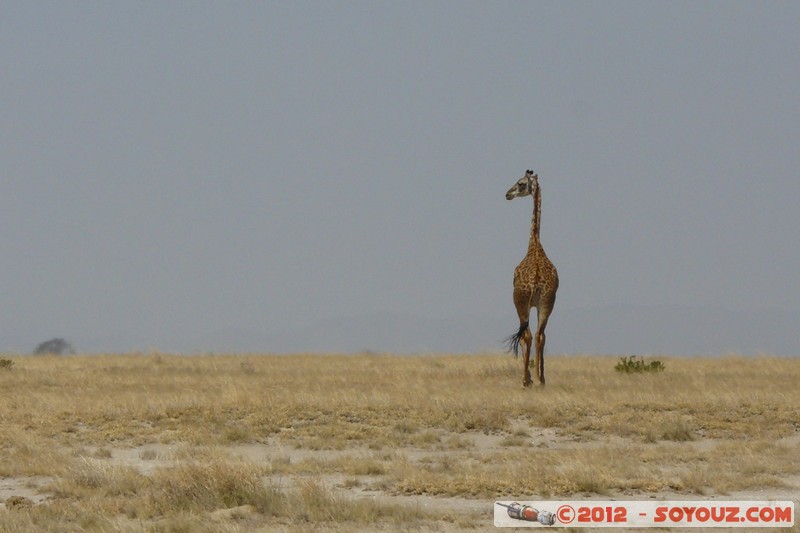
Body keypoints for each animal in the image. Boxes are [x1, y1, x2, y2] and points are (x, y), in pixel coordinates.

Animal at [504, 168, 560, 384]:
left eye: (520, 183)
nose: (507, 194)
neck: (535, 244)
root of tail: (535, 280)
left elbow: (524, 336)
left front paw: (527, 377)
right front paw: (539, 376)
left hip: (520, 301)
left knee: (527, 335)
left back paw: (526, 380)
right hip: (547, 302)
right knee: (540, 335)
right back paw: (541, 378)